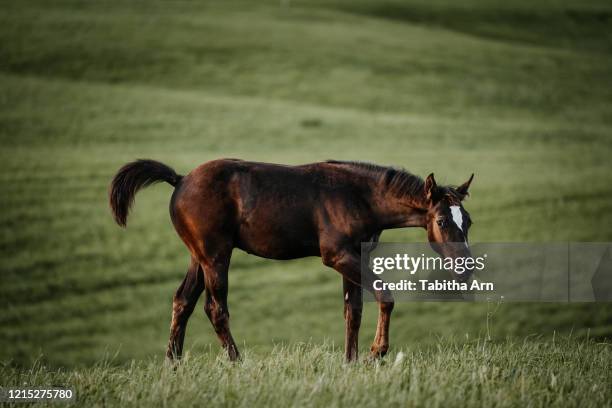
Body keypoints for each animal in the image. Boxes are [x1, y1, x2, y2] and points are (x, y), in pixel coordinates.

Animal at [110, 158, 474, 362]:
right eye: (442, 221)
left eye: (467, 221)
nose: (466, 269)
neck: (358, 197)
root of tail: (181, 178)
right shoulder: (337, 256)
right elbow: (385, 296)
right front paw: (376, 352)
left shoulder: (354, 256)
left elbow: (352, 311)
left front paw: (351, 362)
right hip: (216, 256)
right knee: (215, 309)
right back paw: (237, 363)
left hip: (198, 256)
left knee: (182, 301)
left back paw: (172, 364)